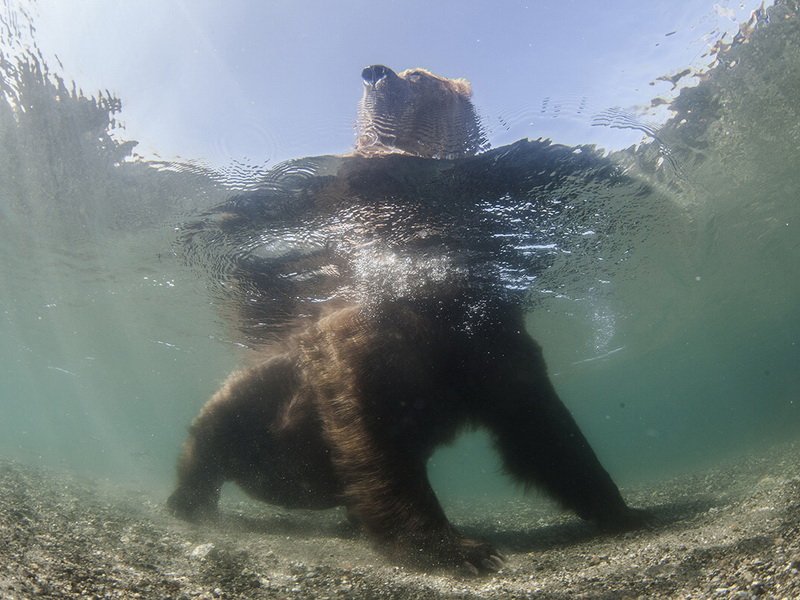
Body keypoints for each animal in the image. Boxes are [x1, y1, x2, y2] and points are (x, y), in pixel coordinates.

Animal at [167, 63, 648, 576]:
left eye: (420, 76)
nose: (375, 72)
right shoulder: (364, 343)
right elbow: (374, 435)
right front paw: (459, 548)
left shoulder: (493, 342)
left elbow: (543, 427)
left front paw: (622, 509)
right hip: (252, 393)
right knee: (209, 435)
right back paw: (190, 501)